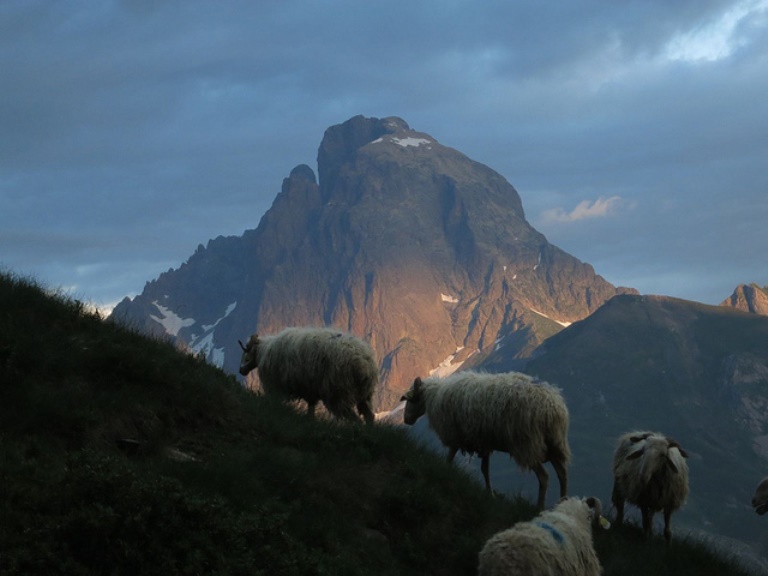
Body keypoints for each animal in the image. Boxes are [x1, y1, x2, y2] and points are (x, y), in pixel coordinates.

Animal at [236, 328, 376, 424]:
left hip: (339, 393)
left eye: (246, 355)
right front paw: (310, 420)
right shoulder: (310, 390)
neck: (263, 351)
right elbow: (311, 409)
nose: (241, 371)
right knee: (369, 416)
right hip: (364, 394)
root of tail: (363, 364)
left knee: (355, 419)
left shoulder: (275, 387)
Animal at [402, 368, 568, 508]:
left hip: (527, 444)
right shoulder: (483, 442)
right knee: (562, 473)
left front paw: (443, 471)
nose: (406, 420)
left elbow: (449, 458)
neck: (433, 395)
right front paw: (489, 493)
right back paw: (562, 501)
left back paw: (540, 507)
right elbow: (485, 470)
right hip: (554, 443)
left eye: (411, 399)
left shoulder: (456, 435)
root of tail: (552, 408)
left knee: (544, 477)